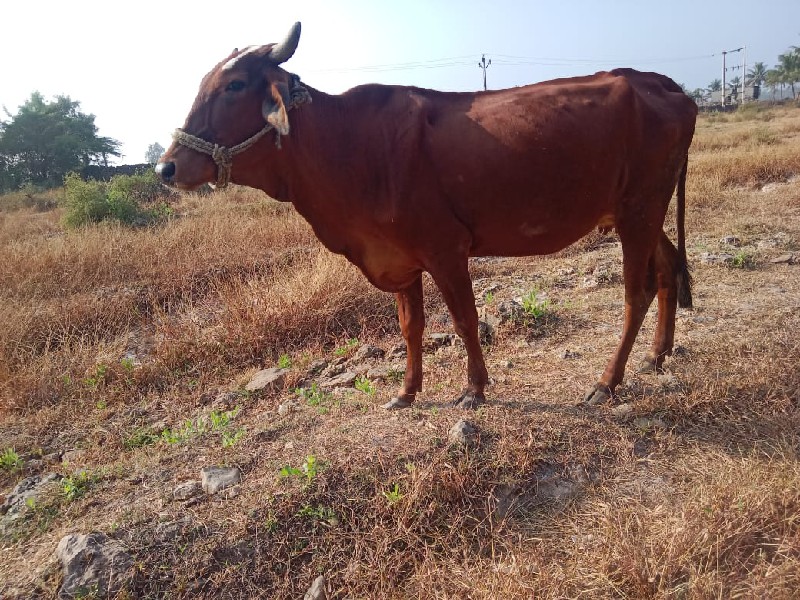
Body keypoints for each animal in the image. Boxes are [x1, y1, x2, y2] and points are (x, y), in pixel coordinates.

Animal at [156, 22, 692, 408]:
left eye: (234, 85)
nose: (167, 167)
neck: (345, 145)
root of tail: (660, 83)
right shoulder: (400, 258)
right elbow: (410, 327)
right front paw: (407, 392)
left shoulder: (446, 249)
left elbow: (464, 320)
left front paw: (474, 389)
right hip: (639, 212)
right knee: (668, 269)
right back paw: (656, 356)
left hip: (638, 210)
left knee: (637, 291)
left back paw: (607, 382)